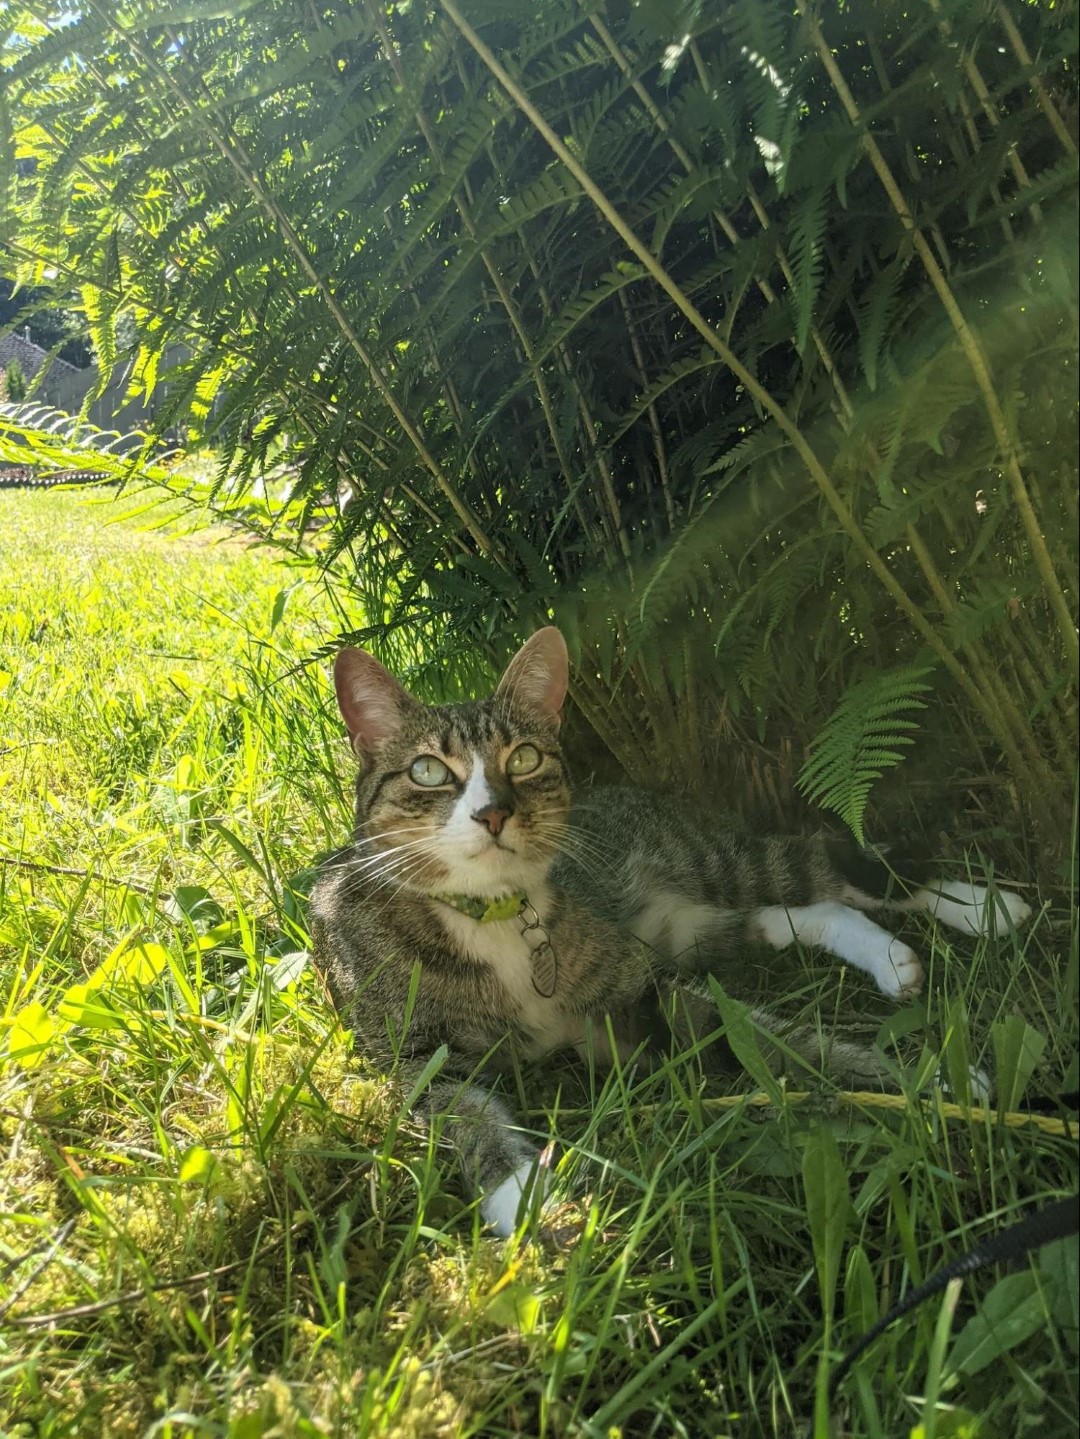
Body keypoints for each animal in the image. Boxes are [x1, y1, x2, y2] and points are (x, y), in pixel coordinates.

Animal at [307, 630, 1035, 1237]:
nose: (493, 812)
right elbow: (463, 1111)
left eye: (526, 756)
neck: (496, 914)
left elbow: (781, 1042)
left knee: (835, 868)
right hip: (691, 927)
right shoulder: (416, 1055)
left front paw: (928, 1082)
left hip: (715, 864)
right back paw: (891, 954)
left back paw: (981, 907)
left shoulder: (642, 992)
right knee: (800, 912)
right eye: (428, 770)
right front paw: (521, 1192)